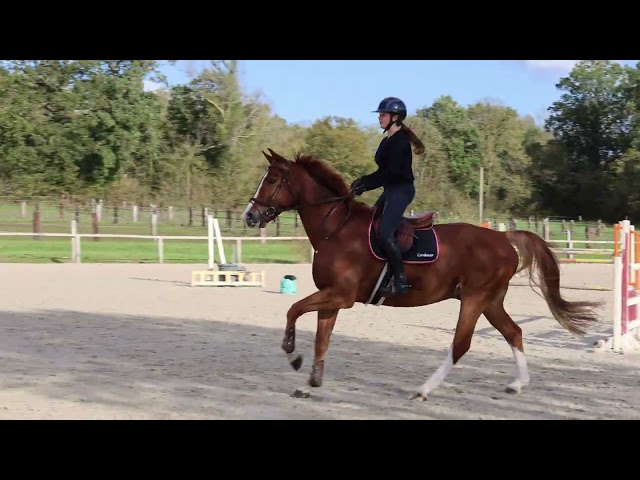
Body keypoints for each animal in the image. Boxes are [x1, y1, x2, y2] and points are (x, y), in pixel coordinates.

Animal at [242, 148, 603, 401]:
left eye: (272, 180)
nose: (250, 215)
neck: (337, 230)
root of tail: (503, 238)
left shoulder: (340, 296)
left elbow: (293, 309)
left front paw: (292, 354)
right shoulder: (331, 299)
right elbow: (321, 339)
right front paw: (310, 383)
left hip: (474, 299)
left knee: (460, 345)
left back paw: (423, 389)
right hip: (490, 300)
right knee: (513, 332)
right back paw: (517, 384)